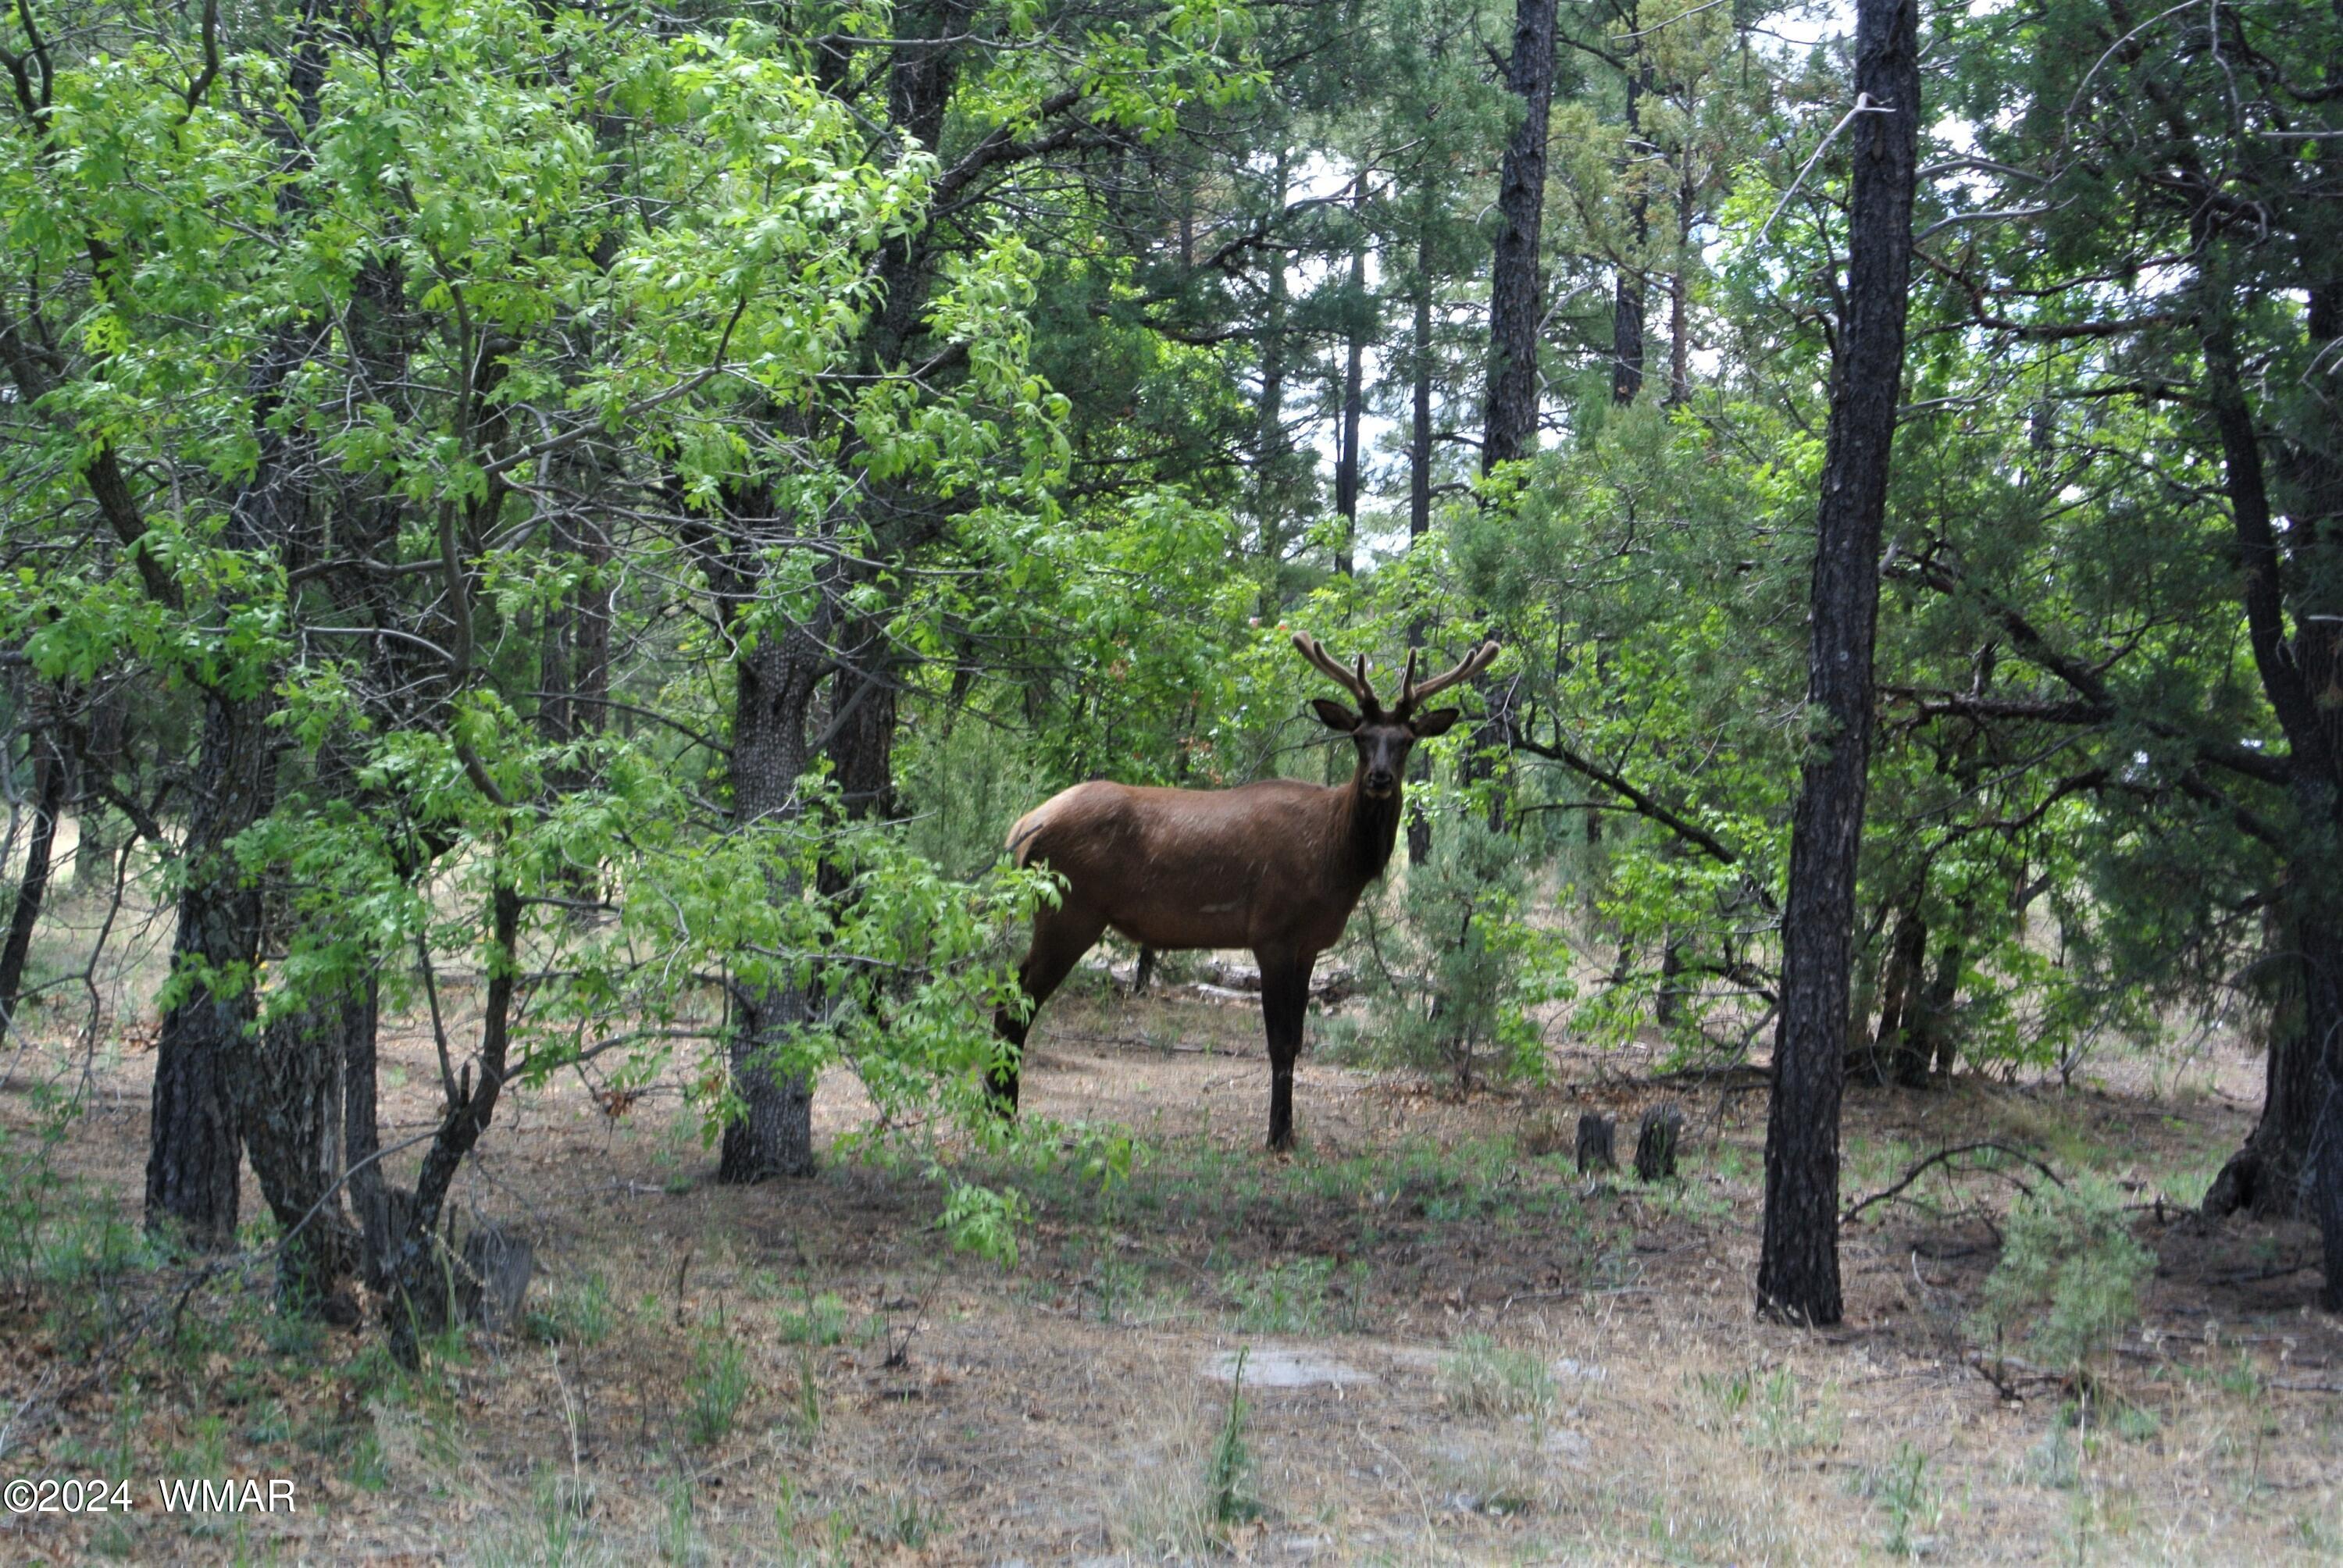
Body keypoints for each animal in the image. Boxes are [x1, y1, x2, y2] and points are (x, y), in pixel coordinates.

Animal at [990, 632, 1502, 1150]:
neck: (1337, 861)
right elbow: (1279, 1042)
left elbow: (1298, 1039)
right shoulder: (1271, 932)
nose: (1380, 778)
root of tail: (1023, 828)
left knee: (1007, 992)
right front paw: (1276, 1136)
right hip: (1070, 911)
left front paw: (1289, 1132)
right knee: (1017, 1003)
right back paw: (1005, 1116)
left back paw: (1000, 1108)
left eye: (1406, 740)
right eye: (1359, 738)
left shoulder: (1309, 945)